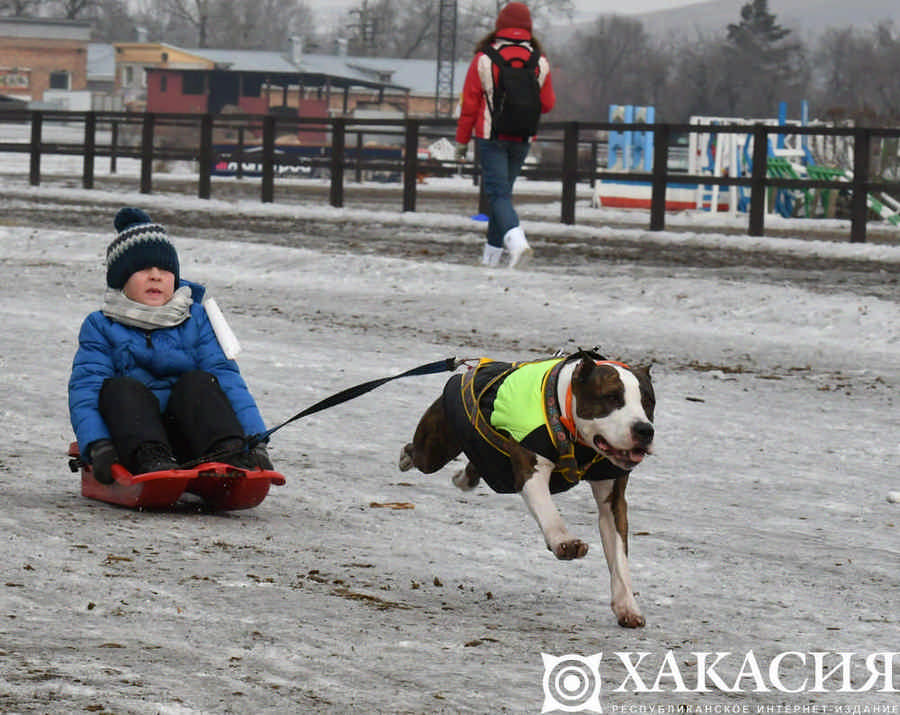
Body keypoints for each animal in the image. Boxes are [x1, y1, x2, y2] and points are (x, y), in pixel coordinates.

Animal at [400, 350, 652, 628]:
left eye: (648, 402)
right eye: (612, 397)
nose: (645, 430)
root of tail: (470, 368)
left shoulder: (613, 499)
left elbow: (619, 557)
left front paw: (627, 606)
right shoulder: (531, 468)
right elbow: (549, 512)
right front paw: (564, 542)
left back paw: (465, 477)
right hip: (435, 449)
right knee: (418, 452)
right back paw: (407, 457)